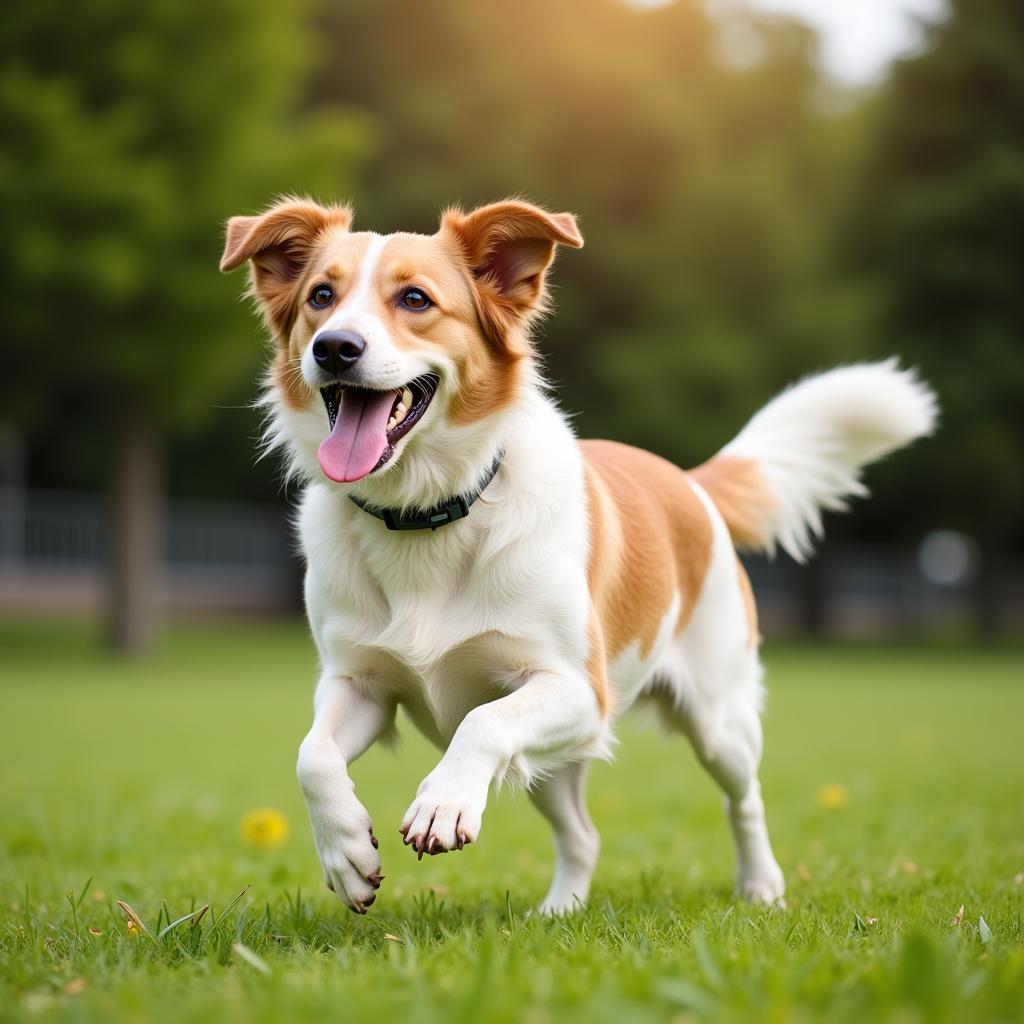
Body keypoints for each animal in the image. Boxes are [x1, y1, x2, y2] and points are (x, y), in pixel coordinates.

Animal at [222, 195, 937, 917]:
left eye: (415, 299)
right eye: (321, 296)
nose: (334, 347)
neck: (427, 514)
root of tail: (689, 482)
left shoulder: (578, 691)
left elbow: (479, 722)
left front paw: (443, 803)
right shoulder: (357, 682)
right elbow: (312, 757)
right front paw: (346, 854)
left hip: (717, 721)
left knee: (745, 800)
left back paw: (761, 886)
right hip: (553, 766)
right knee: (582, 834)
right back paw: (559, 910)